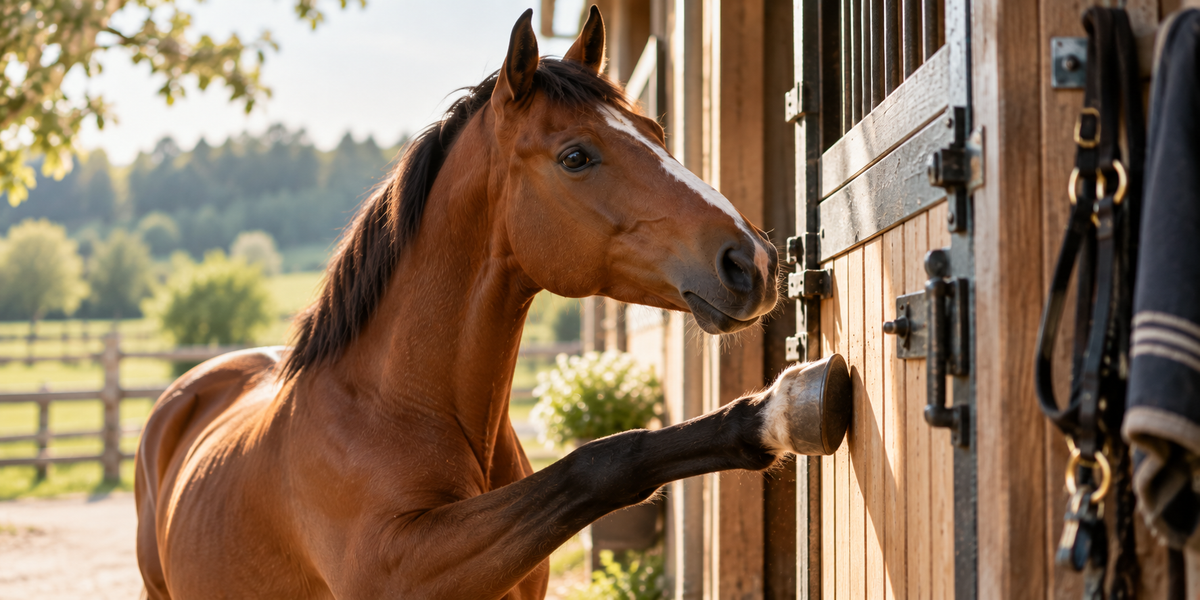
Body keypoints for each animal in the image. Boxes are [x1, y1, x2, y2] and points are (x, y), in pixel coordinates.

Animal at [135, 7, 847, 598]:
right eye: (575, 156)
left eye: (654, 129)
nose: (753, 261)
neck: (389, 408)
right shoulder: (407, 563)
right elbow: (600, 461)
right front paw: (784, 409)